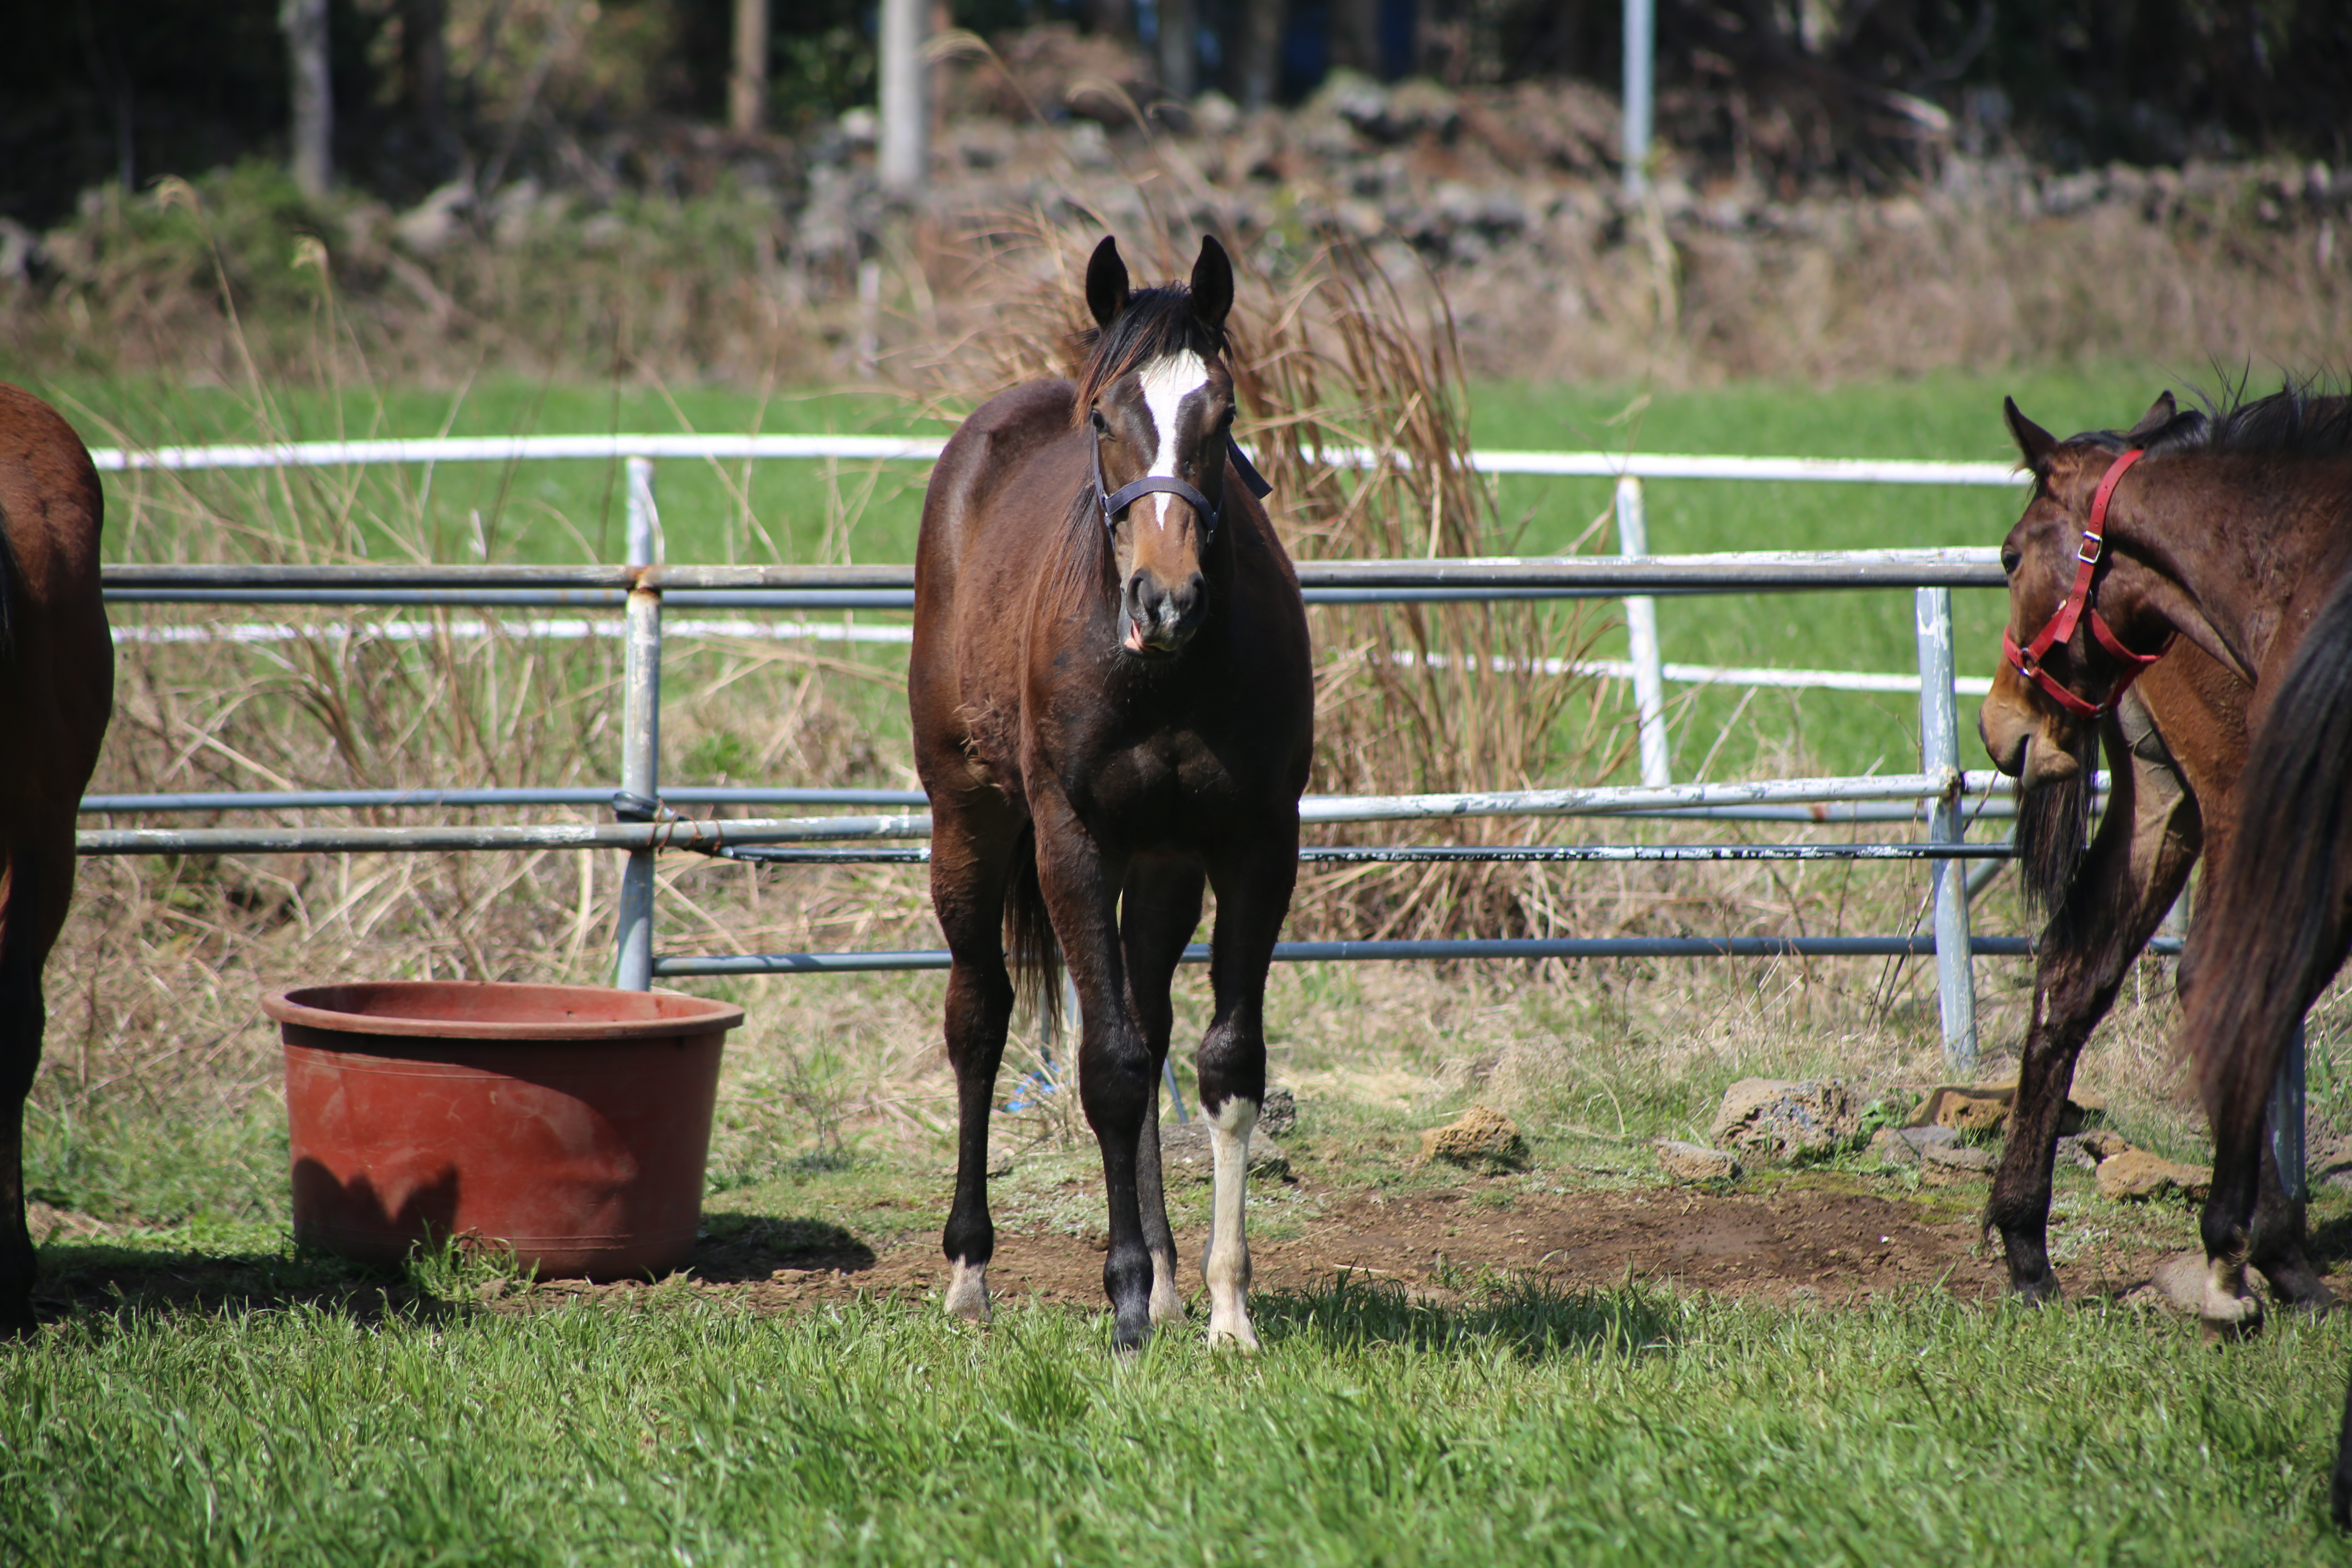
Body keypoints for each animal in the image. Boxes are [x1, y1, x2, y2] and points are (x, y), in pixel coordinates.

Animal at [903, 232, 1317, 1354]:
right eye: (1104, 418)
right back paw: (970, 1272)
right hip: (967, 819)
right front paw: (1125, 1297)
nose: (1165, 598)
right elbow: (1112, 1070)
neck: (1165, 675)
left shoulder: (1256, 845)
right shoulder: (1071, 841)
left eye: (1222, 412)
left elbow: (1224, 1066)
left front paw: (1223, 1305)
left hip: (1162, 865)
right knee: (979, 1018)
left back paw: (1171, 1277)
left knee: (1149, 1016)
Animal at [1976, 390, 2352, 1523]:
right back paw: (2257, 1260)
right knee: (2217, 984)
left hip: (2175, 805)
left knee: (2078, 973)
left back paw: (2031, 1246)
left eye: (2008, 555)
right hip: (2230, 801)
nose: (2002, 729)